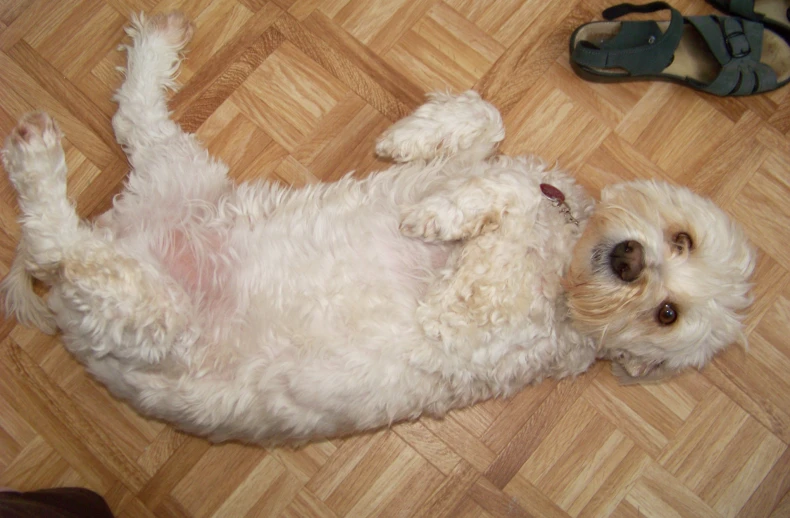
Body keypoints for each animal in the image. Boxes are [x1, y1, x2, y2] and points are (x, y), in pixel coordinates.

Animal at [0, 11, 756, 442]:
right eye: (681, 237)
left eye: (667, 314)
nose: (628, 260)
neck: (563, 250)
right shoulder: (487, 167)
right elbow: (486, 122)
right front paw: (409, 138)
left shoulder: (466, 312)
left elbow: (503, 196)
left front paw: (446, 211)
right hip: (178, 175)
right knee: (135, 116)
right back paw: (151, 48)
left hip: (152, 318)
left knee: (58, 246)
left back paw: (38, 160)